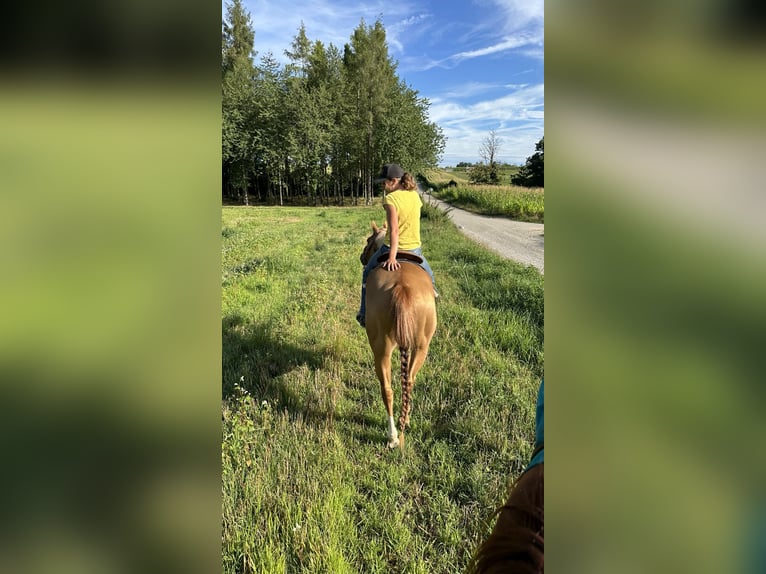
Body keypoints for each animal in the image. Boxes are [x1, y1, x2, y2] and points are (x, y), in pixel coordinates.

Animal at [360, 220, 438, 450]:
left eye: (368, 240)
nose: (362, 258)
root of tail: (401, 288)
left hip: (382, 350)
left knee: (388, 389)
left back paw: (393, 436)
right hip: (421, 346)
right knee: (408, 381)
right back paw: (404, 423)